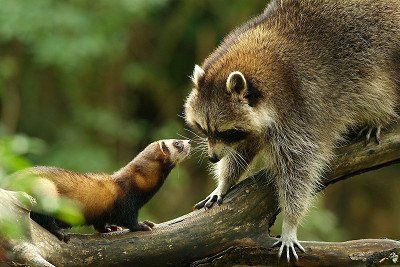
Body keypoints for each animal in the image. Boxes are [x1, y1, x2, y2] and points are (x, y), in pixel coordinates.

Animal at [184, 0, 400, 264]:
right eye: (203, 129)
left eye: (226, 132)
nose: (212, 158)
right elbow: (241, 152)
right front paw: (224, 181)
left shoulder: (298, 112)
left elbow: (299, 171)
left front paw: (290, 222)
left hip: (383, 58)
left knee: (378, 92)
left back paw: (379, 117)